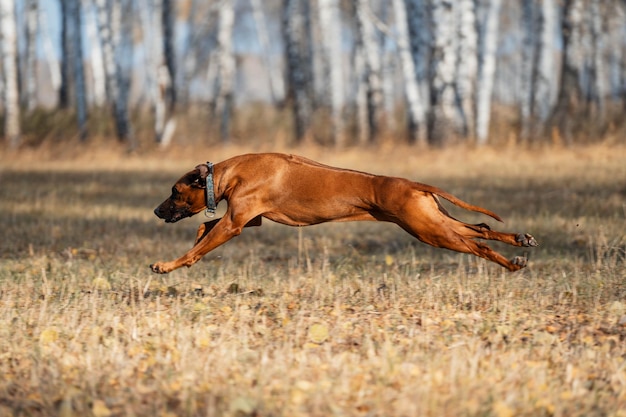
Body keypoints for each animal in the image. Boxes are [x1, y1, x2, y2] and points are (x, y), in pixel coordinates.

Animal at [149, 153, 532, 272]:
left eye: (174, 192)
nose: (155, 211)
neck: (229, 172)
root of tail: (413, 183)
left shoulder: (235, 224)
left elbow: (201, 243)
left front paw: (168, 265)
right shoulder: (250, 219)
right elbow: (203, 231)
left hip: (428, 231)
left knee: (477, 244)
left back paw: (512, 263)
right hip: (431, 221)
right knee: (480, 227)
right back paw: (519, 240)